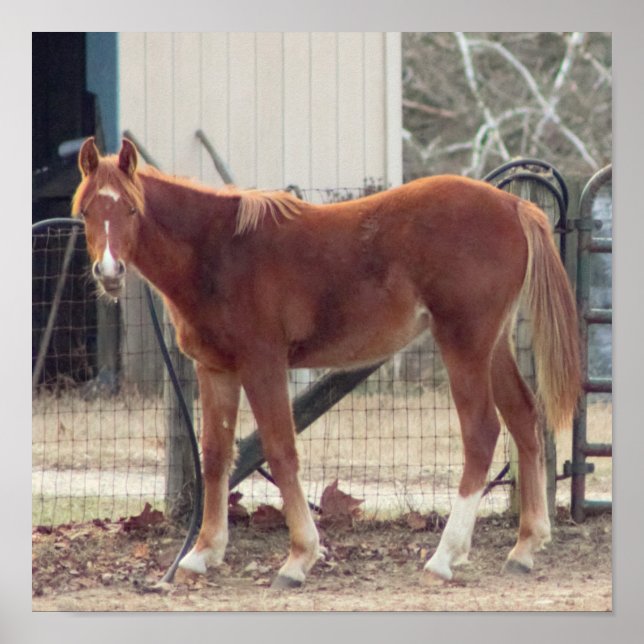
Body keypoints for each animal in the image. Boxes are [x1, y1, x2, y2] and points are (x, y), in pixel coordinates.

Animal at [73, 137, 580, 589]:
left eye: (131, 209)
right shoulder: (216, 370)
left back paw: (443, 557)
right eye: (86, 211)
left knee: (482, 434)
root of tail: (514, 206)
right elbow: (216, 456)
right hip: (493, 347)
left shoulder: (263, 363)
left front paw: (299, 559)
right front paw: (201, 554)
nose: (110, 273)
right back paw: (525, 547)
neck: (218, 250)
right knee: (524, 419)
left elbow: (281, 452)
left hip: (464, 343)